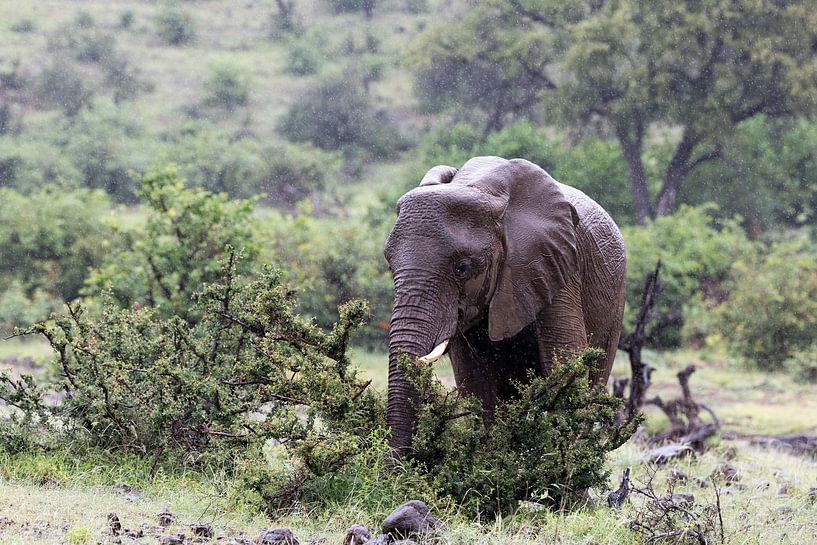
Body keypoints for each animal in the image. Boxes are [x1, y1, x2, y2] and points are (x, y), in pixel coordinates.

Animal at [383, 156, 626, 454]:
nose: (394, 464)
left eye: (462, 268)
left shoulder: (556, 266)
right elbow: (477, 383)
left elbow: (566, 364)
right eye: (390, 265)